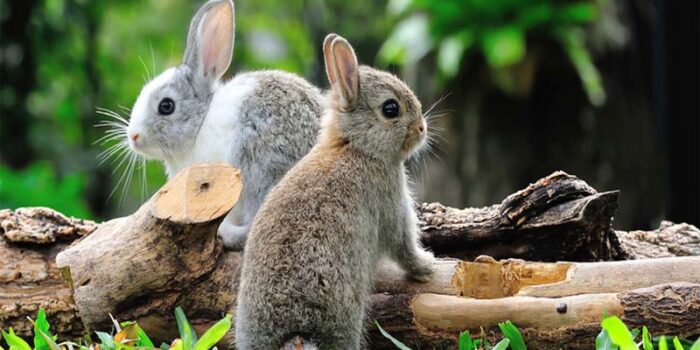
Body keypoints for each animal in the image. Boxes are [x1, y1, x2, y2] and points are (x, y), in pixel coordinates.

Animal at [232, 33, 434, 350]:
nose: (422, 128)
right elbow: (403, 246)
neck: (355, 146)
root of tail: (295, 333)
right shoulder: (391, 204)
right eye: (391, 109)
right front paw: (427, 267)